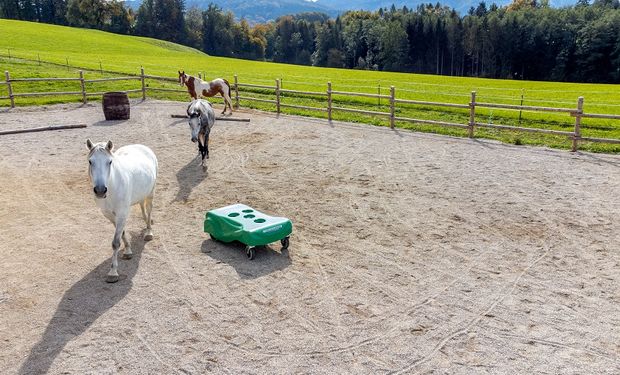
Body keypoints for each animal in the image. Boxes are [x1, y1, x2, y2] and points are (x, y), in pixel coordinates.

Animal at [86, 140, 159, 284]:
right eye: (91, 161)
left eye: (110, 162)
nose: (100, 190)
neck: (112, 187)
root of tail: (141, 146)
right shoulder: (110, 215)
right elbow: (122, 233)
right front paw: (128, 251)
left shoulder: (122, 213)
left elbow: (115, 243)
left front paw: (113, 272)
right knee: (142, 206)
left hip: (151, 193)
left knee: (149, 211)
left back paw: (148, 232)